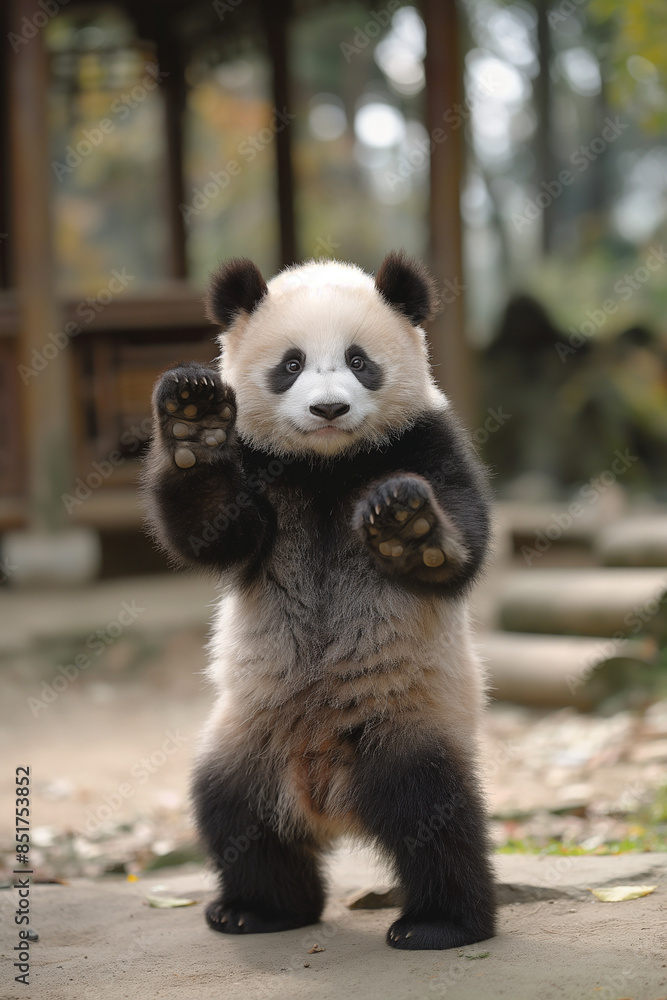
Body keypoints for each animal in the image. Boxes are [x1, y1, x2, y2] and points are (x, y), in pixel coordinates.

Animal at [142, 251, 496, 951]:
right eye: (291, 364)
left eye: (359, 360)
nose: (329, 409)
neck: (328, 464)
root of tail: (327, 800)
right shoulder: (259, 466)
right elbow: (212, 532)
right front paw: (193, 418)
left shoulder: (426, 441)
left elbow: (460, 544)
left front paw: (407, 527)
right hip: (247, 738)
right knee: (232, 814)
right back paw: (260, 909)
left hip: (405, 720)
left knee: (435, 816)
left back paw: (442, 922)